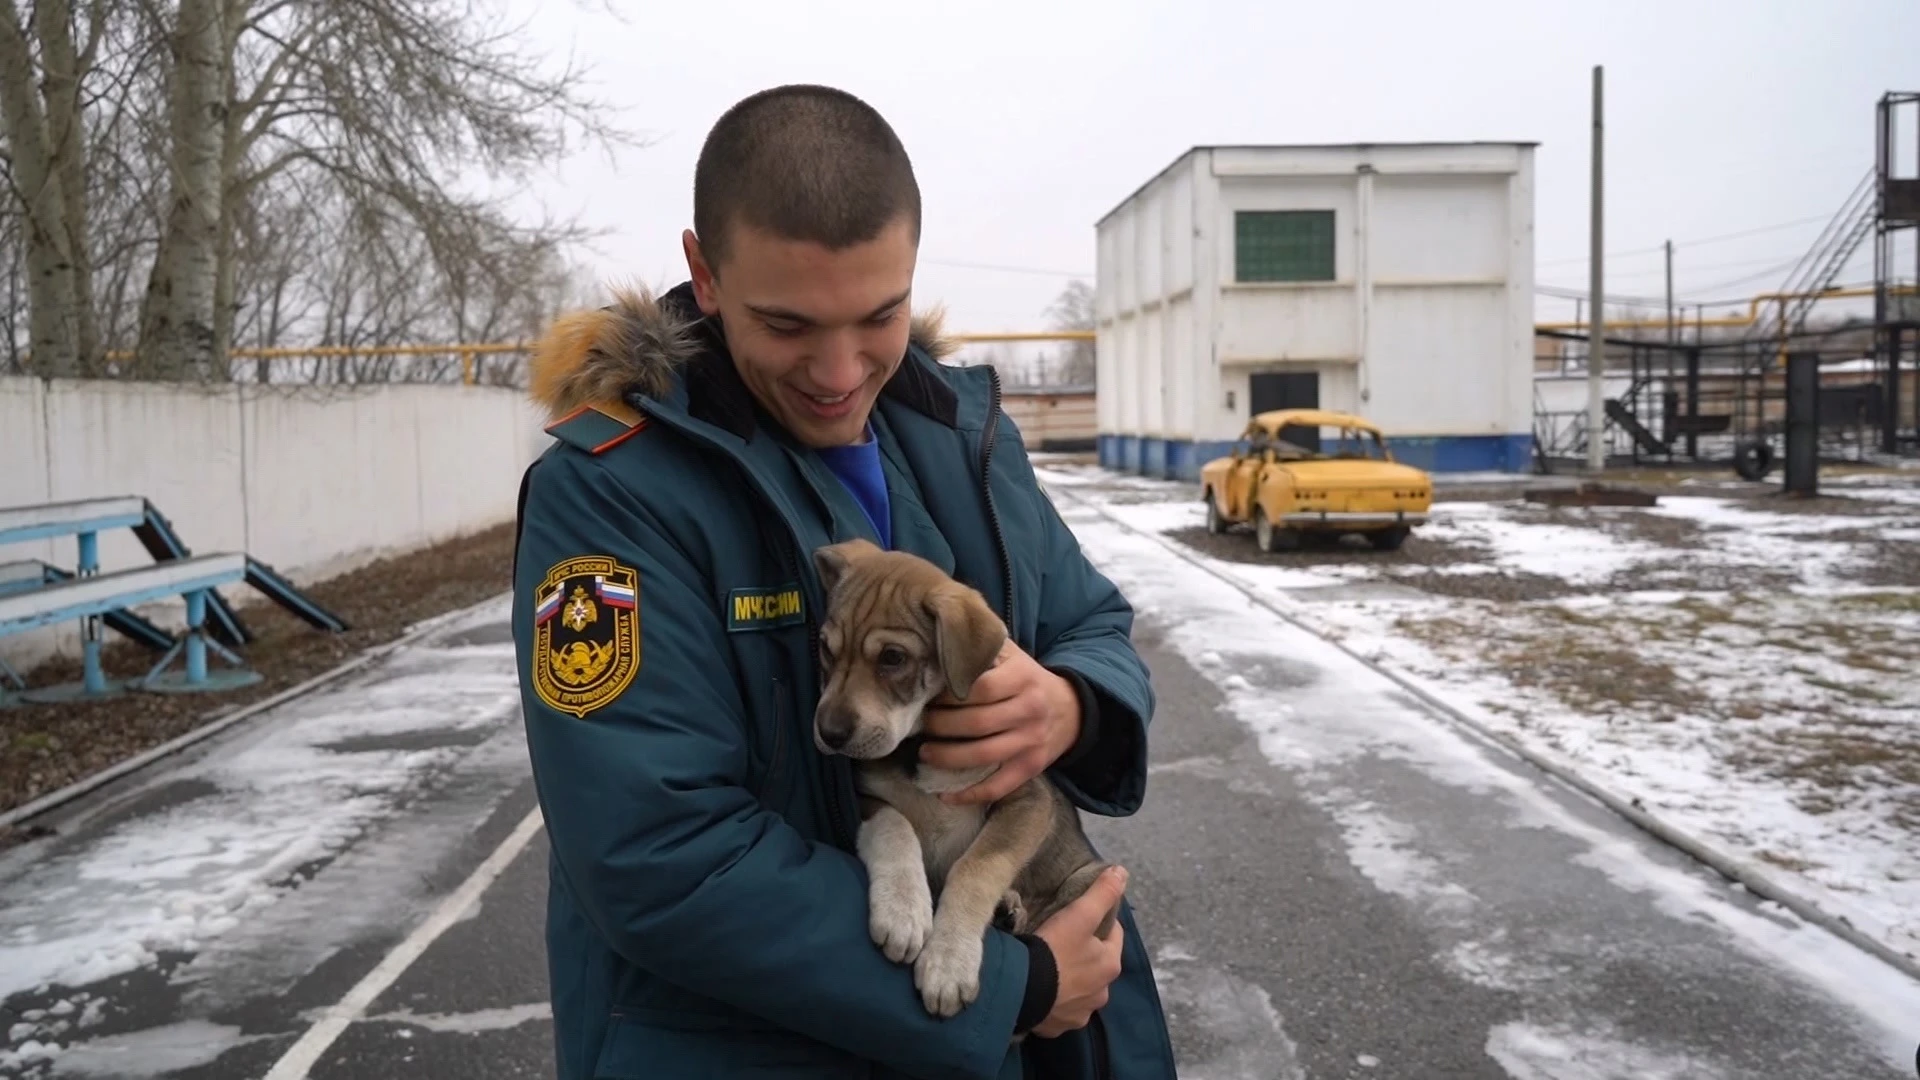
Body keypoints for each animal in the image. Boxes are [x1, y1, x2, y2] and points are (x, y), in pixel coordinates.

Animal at [806, 538, 1121, 1014]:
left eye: (893, 658)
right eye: (826, 649)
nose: (830, 734)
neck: (919, 743)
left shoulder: (1026, 800)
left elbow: (976, 866)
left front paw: (948, 961)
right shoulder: (866, 798)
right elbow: (896, 827)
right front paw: (903, 909)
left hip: (1094, 878)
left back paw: (1009, 912)